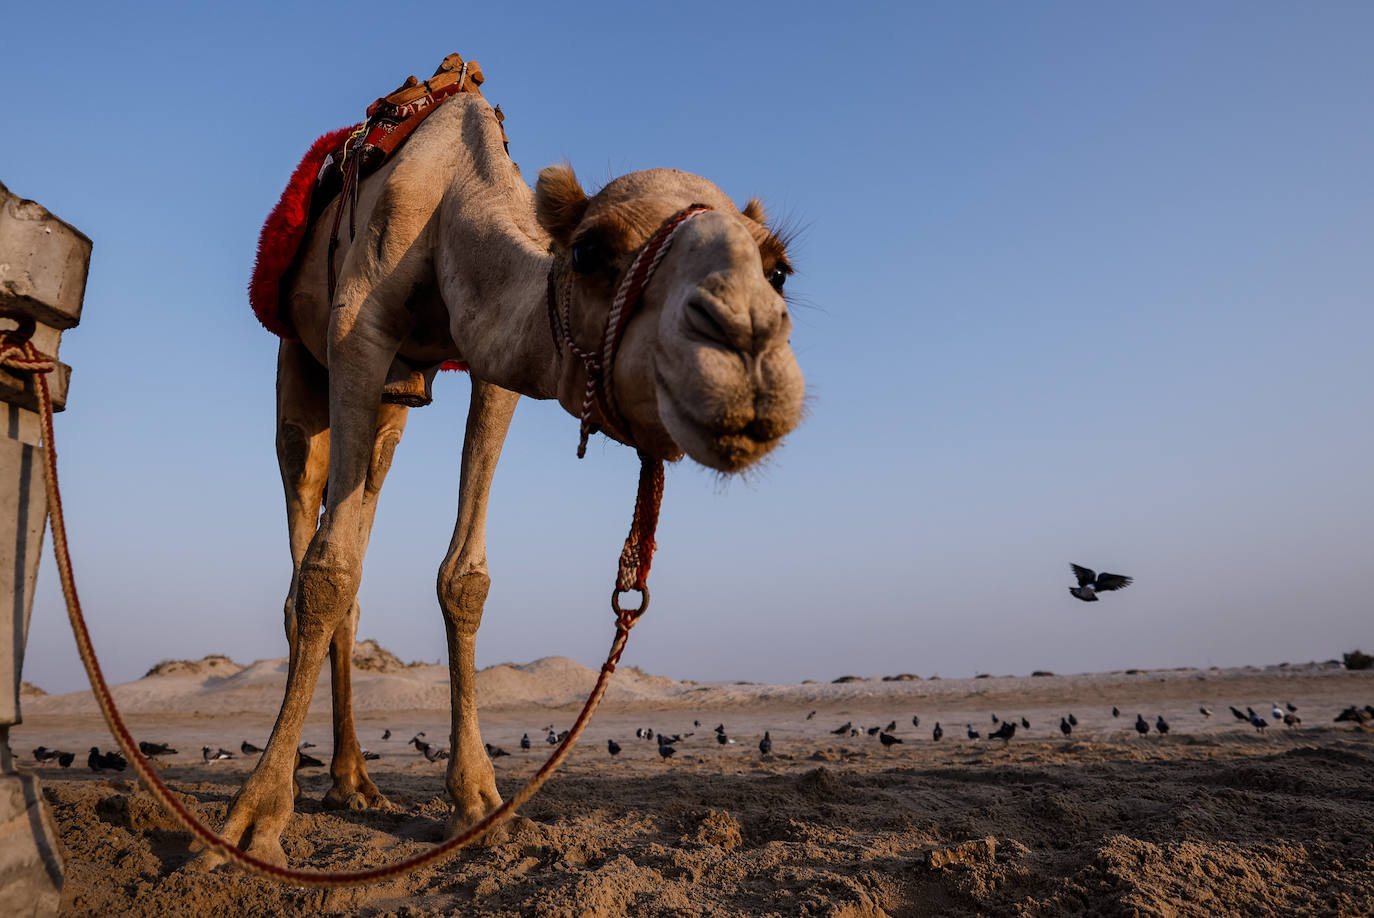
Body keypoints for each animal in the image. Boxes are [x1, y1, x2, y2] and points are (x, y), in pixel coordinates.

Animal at [200, 91, 802, 868]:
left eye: (778, 270)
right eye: (589, 251)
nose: (746, 341)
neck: (449, 194)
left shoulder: (494, 370)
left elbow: (464, 578)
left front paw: (481, 805)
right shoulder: (356, 332)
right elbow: (326, 574)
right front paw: (250, 825)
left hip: (391, 407)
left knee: (362, 525)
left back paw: (355, 782)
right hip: (298, 361)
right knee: (305, 532)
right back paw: (321, 786)